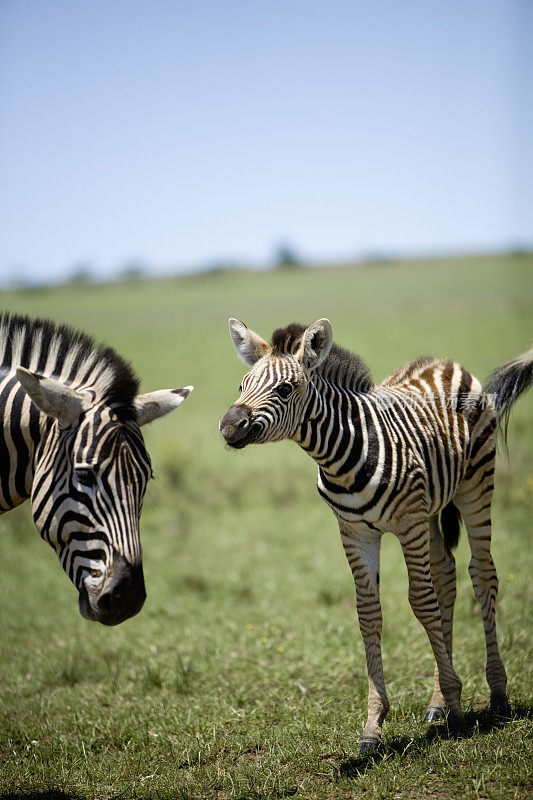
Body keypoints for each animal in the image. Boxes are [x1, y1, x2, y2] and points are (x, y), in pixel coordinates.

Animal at [219, 318, 532, 752]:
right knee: (445, 574)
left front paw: (456, 711)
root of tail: (442, 362)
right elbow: (368, 613)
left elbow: (422, 603)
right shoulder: (354, 533)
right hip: (431, 506)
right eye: (241, 385)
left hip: (474, 487)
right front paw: (374, 724)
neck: (342, 457)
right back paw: (437, 702)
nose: (229, 426)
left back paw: (497, 695)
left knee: (482, 574)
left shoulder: (408, 525)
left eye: (285, 389)